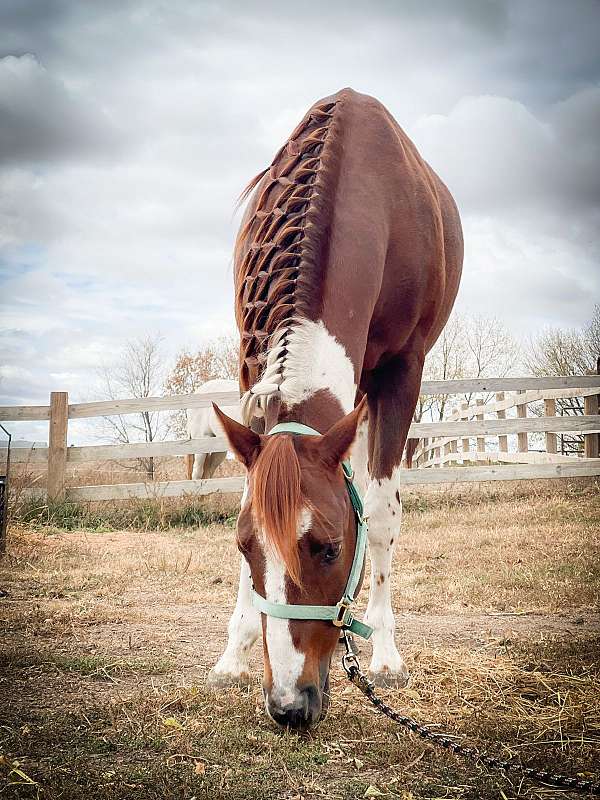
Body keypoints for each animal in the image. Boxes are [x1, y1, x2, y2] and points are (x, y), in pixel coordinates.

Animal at [211, 89, 464, 732]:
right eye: (244, 548)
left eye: (327, 548)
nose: (288, 705)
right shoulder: (250, 368)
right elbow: (249, 489)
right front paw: (234, 650)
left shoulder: (403, 369)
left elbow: (380, 513)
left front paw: (387, 653)